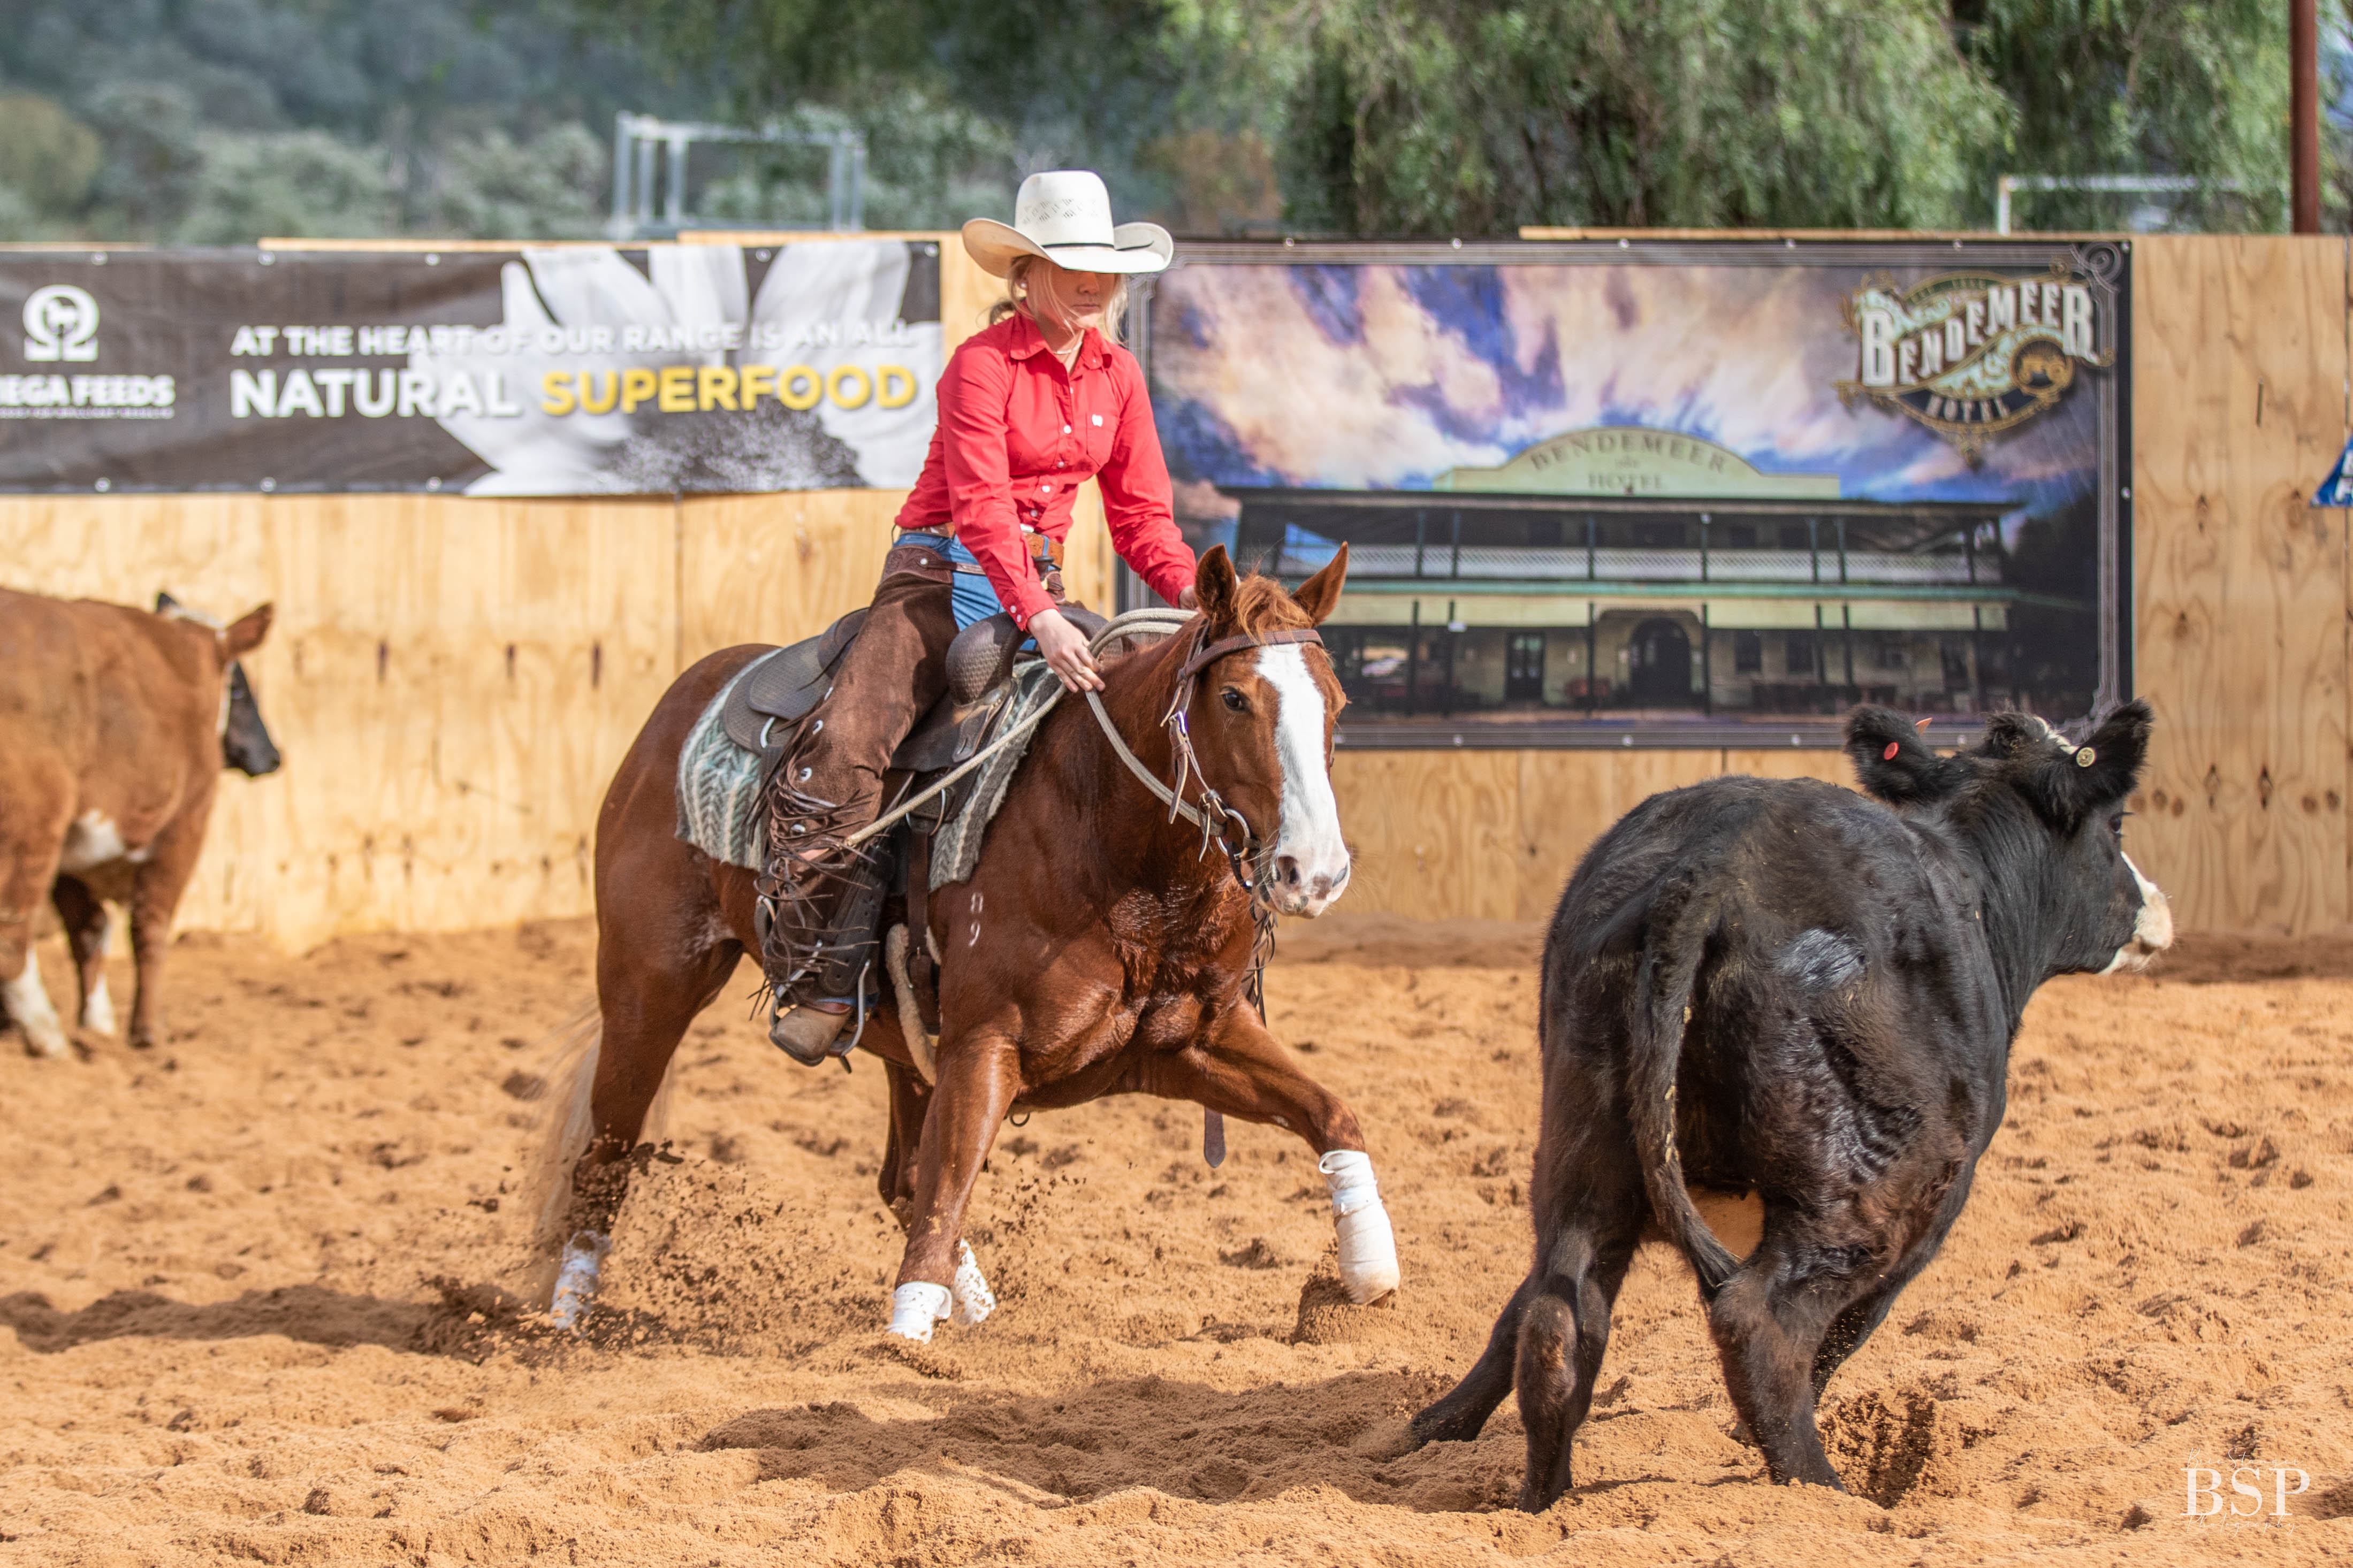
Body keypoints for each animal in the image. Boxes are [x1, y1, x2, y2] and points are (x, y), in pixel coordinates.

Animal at [550, 543, 1401, 1338]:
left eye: (1337, 701)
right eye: (1232, 697)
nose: (1315, 871)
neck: (1109, 836)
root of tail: (685, 696)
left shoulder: (1192, 1042)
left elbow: (1334, 1114)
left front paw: (1369, 1275)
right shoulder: (984, 1045)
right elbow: (949, 1188)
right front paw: (906, 1338)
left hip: (899, 1041)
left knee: (899, 1179)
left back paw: (981, 1311)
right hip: (649, 986)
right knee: (605, 1154)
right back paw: (563, 1314)